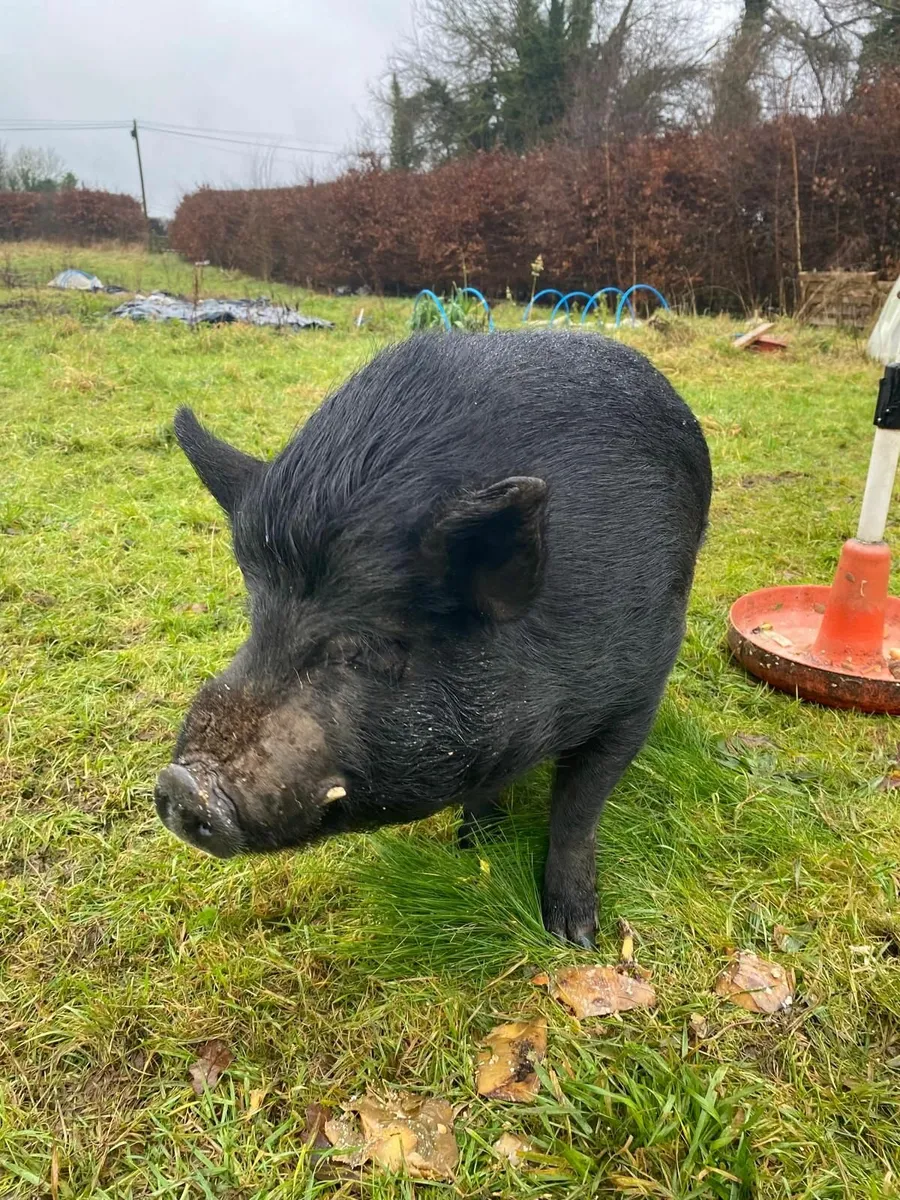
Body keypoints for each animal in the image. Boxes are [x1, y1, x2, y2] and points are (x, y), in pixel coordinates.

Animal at [154, 330, 711, 946]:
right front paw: (474, 846)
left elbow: (578, 808)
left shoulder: (639, 690)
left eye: (369, 648)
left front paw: (574, 936)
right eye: (257, 618)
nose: (181, 784)